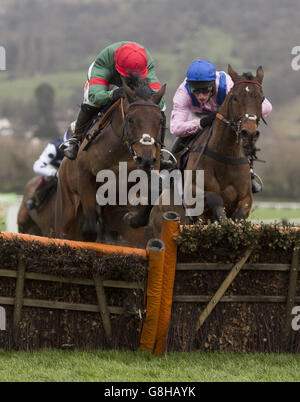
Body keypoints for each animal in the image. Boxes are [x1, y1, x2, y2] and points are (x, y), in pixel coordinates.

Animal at [55, 74, 165, 247]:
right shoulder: (86, 176)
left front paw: (133, 219)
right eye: (131, 119)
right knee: (67, 231)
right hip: (67, 208)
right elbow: (89, 228)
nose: (146, 159)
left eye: (160, 120)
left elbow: (156, 189)